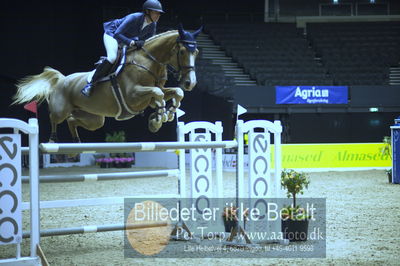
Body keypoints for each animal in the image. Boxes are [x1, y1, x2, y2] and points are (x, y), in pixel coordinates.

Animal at [13, 23, 200, 142]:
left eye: (196, 52)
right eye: (182, 51)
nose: (190, 83)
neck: (148, 61)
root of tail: (62, 79)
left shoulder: (152, 93)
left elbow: (175, 92)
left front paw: (165, 114)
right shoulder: (133, 96)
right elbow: (158, 94)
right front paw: (158, 119)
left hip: (94, 119)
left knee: (72, 120)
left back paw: (76, 145)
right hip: (62, 110)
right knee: (54, 118)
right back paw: (52, 141)